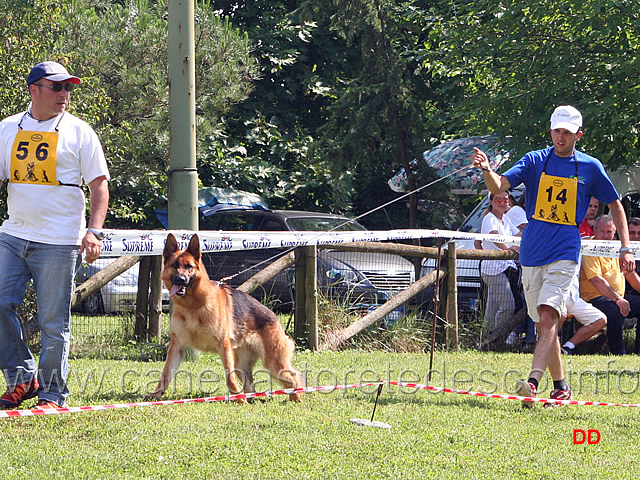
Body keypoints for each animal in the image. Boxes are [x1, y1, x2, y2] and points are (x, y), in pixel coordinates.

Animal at [149, 232, 304, 402]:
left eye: (189, 266)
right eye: (174, 265)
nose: (180, 279)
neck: (192, 305)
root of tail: (274, 316)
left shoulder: (223, 345)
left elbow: (229, 376)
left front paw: (239, 400)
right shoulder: (177, 346)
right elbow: (166, 373)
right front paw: (156, 394)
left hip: (273, 364)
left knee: (293, 378)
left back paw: (296, 398)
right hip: (242, 365)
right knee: (251, 385)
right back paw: (251, 398)